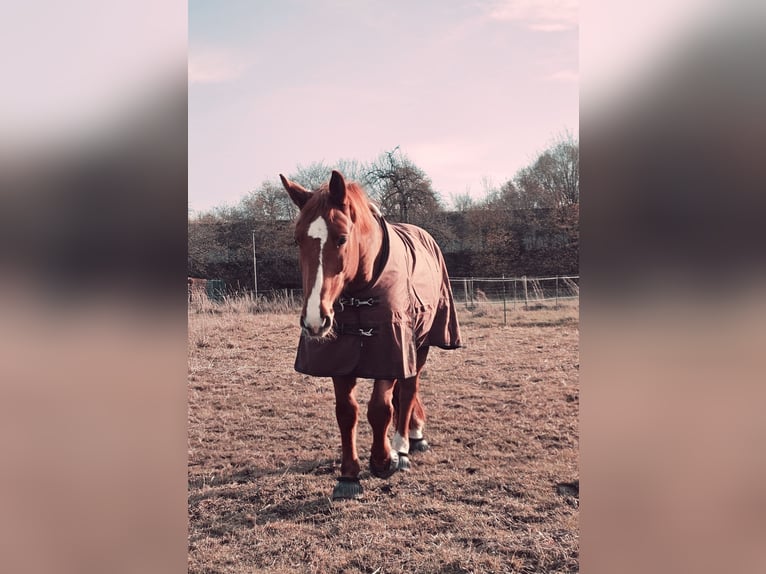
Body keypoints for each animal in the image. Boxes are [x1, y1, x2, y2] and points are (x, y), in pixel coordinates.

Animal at [280, 170, 462, 500]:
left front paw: (382, 460)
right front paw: (348, 475)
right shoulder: (339, 359)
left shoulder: (390, 348)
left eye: (341, 238)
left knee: (409, 388)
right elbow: (346, 413)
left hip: (421, 344)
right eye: (297, 239)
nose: (315, 320)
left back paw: (404, 445)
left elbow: (380, 408)